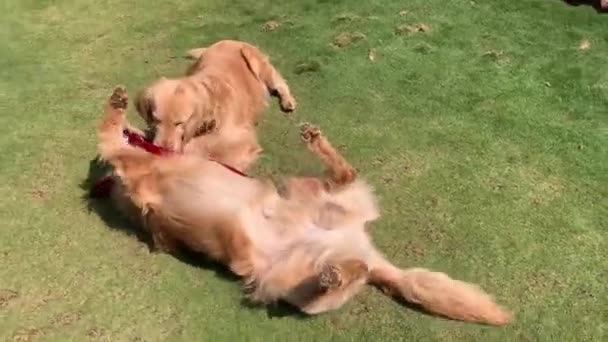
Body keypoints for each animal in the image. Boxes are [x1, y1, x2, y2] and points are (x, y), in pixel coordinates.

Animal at [96, 86, 512, 326]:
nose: (158, 138)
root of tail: (362, 250)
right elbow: (113, 141)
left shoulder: (132, 161)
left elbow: (109, 134)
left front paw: (117, 107)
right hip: (287, 275)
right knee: (343, 275)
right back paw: (338, 273)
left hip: (309, 197)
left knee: (346, 177)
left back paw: (316, 144)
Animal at [134, 39, 296, 172]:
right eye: (155, 120)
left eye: (179, 123)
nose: (162, 148)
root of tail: (230, 40)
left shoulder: (240, 139)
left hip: (256, 61)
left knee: (280, 82)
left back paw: (288, 101)